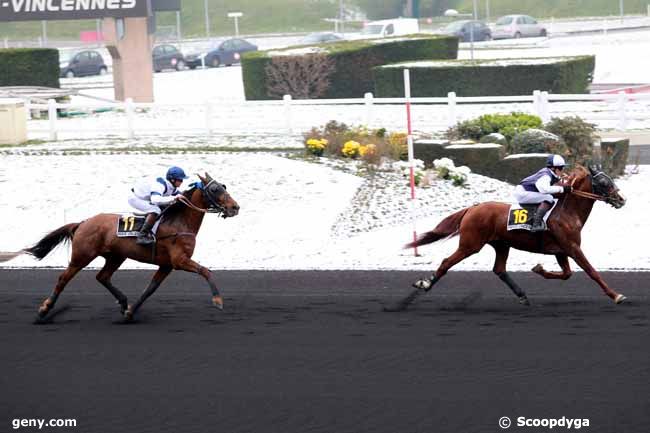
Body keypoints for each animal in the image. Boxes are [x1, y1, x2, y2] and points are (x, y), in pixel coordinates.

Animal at [0, 173, 238, 320]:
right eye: (215, 189)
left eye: (223, 186)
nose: (235, 207)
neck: (179, 222)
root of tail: (83, 222)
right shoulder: (180, 261)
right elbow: (206, 271)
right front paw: (218, 300)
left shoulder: (167, 265)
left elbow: (150, 289)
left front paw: (130, 311)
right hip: (82, 256)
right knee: (63, 278)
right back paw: (44, 309)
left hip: (116, 256)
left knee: (102, 277)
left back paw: (123, 302)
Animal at [388, 163, 624, 310]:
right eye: (604, 182)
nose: (621, 200)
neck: (567, 211)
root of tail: (472, 208)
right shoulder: (572, 248)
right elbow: (592, 272)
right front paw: (616, 295)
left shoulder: (561, 250)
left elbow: (566, 274)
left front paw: (538, 268)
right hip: (470, 244)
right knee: (447, 262)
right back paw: (425, 284)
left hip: (501, 244)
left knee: (499, 269)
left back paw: (522, 295)